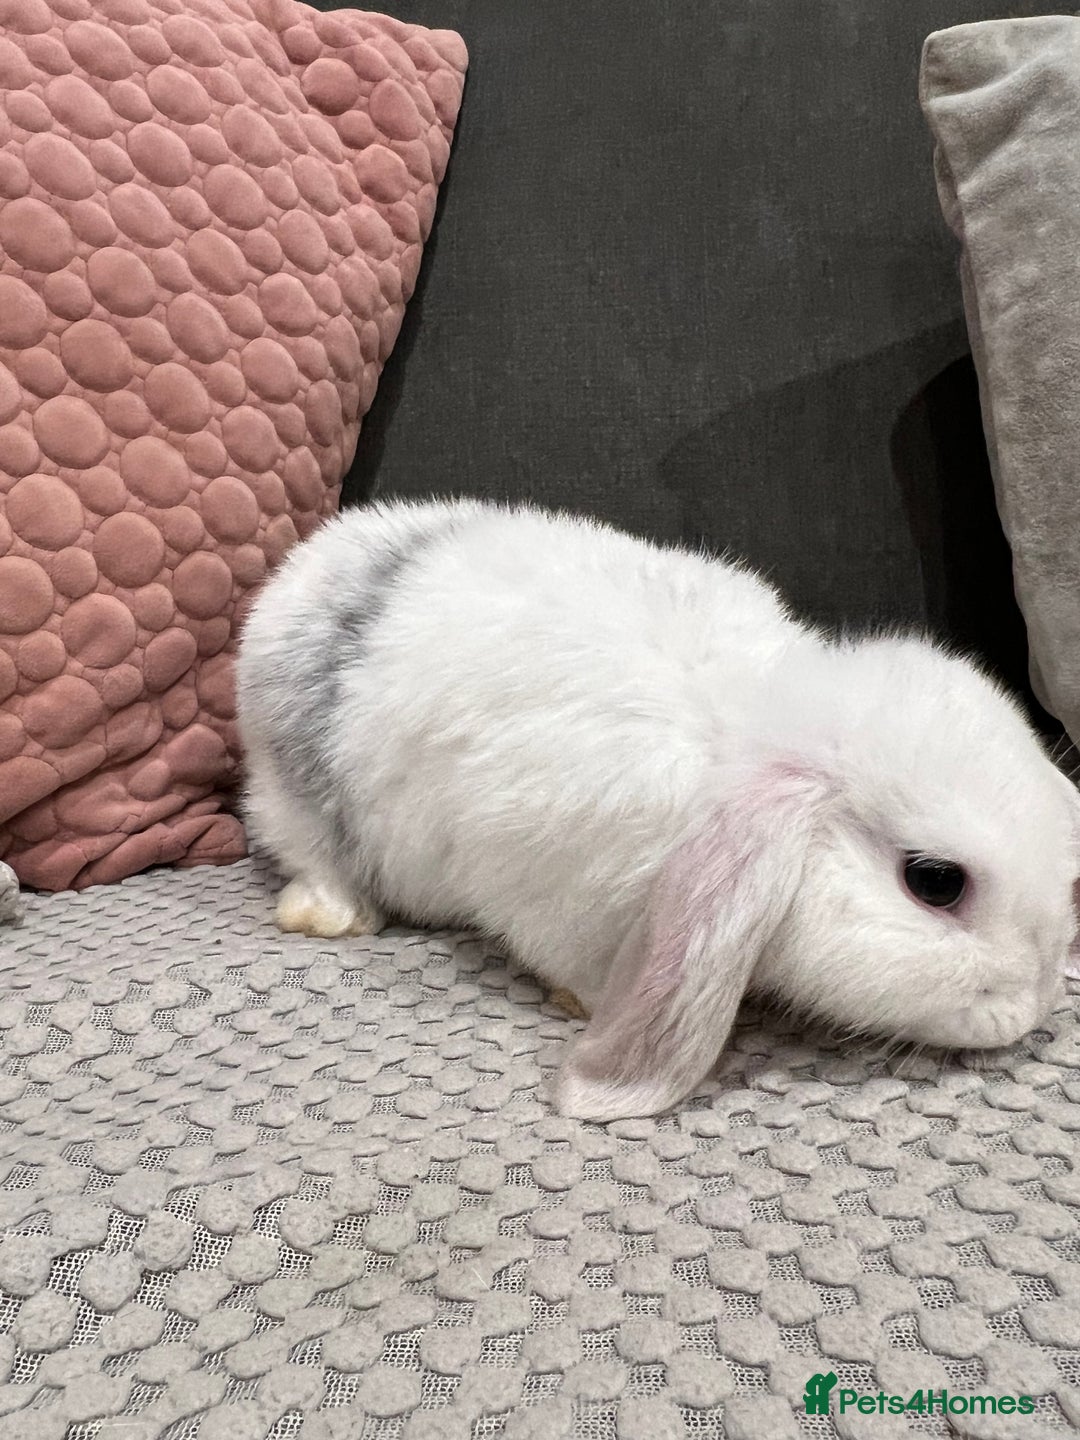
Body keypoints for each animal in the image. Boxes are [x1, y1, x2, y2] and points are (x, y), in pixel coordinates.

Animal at [235, 497, 1080, 1122]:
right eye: (935, 881)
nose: (1033, 1008)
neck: (744, 731)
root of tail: (306, 569)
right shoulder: (550, 891)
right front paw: (582, 1003)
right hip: (288, 790)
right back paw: (332, 916)